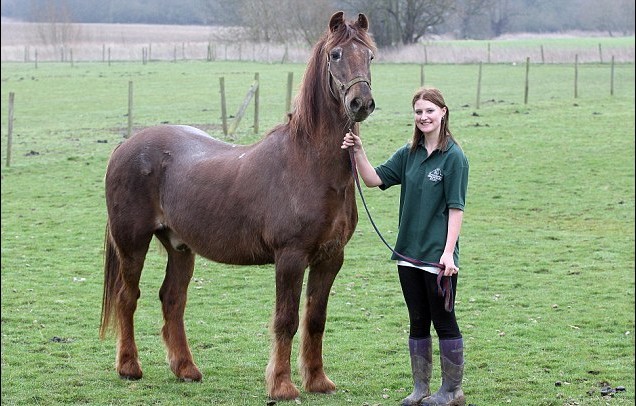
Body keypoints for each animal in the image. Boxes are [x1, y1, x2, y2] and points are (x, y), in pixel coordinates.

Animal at [100, 11, 376, 402]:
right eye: (336, 54)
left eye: (369, 55)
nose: (361, 103)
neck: (308, 163)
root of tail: (125, 146)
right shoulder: (291, 257)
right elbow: (286, 320)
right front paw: (282, 385)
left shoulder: (330, 258)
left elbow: (315, 319)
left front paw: (318, 381)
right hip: (132, 244)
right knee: (128, 297)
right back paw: (129, 367)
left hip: (180, 247)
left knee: (172, 299)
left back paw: (186, 369)